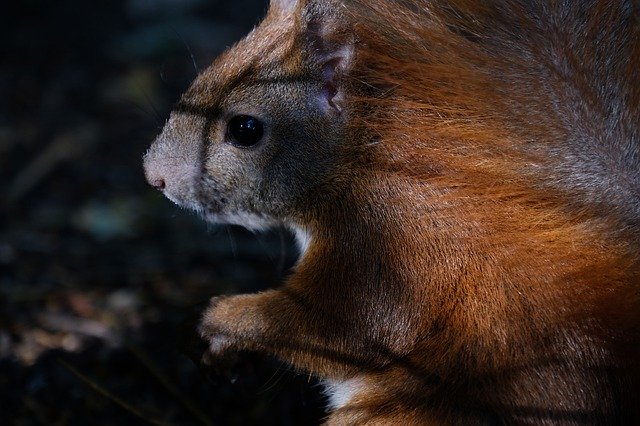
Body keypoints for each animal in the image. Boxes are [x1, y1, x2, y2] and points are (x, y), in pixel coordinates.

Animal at [145, 0, 640, 422]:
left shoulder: (390, 247)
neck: (355, 172)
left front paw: (221, 319)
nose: (154, 176)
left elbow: (349, 328)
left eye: (245, 129)